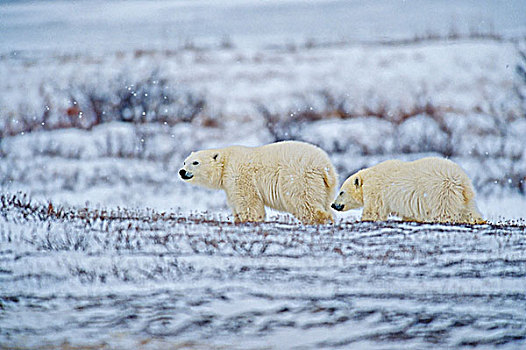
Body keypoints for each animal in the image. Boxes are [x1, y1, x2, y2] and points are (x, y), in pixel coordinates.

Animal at [180, 140, 338, 224]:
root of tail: (324, 166)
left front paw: (249, 220)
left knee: (303, 201)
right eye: (185, 162)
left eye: (195, 162)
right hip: (326, 186)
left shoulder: (239, 175)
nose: (182, 171)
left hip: (298, 177)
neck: (226, 162)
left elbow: (248, 201)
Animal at [334, 157, 486, 224]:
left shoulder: (375, 190)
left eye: (341, 192)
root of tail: (461, 179)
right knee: (469, 210)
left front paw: (365, 219)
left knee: (444, 211)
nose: (333, 205)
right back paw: (478, 220)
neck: (368, 177)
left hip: (442, 191)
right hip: (464, 195)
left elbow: (373, 211)